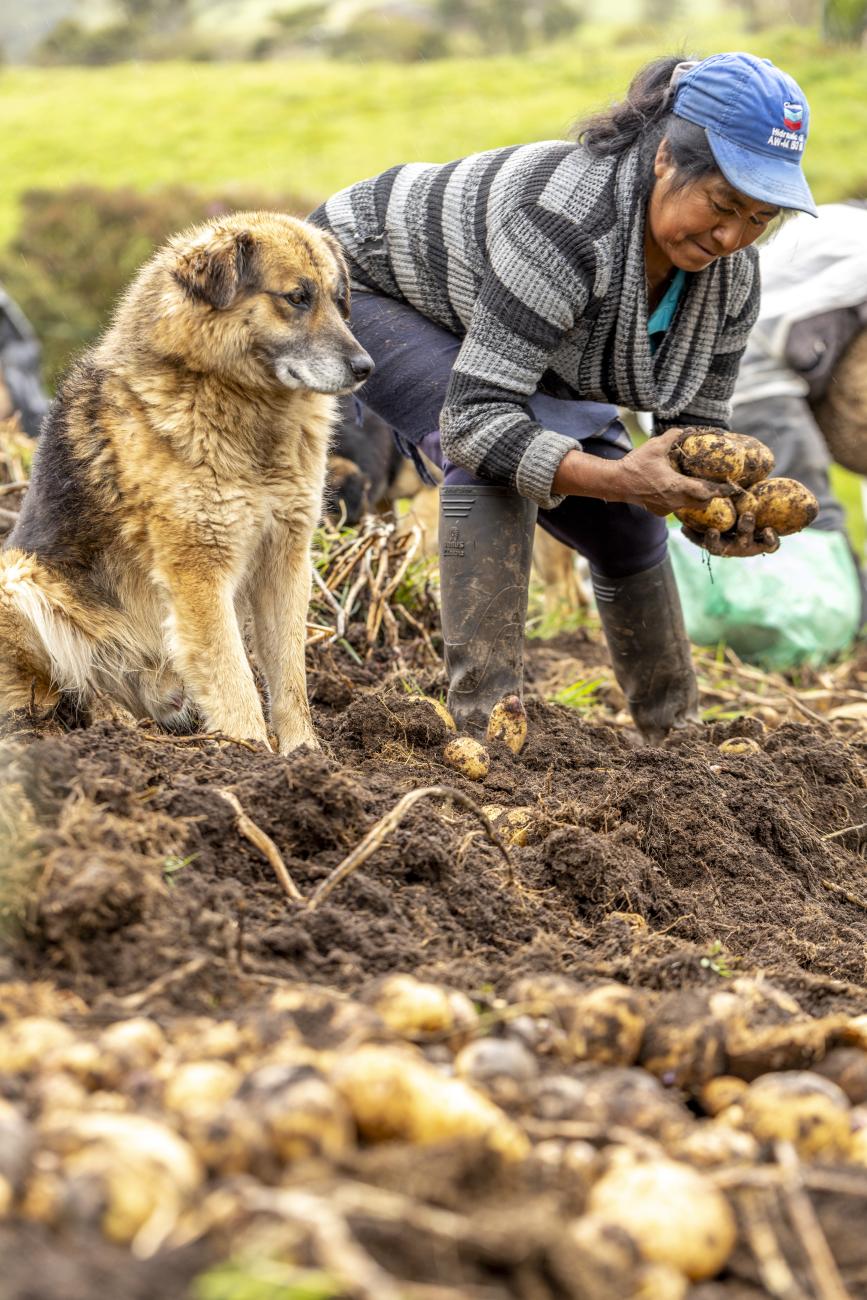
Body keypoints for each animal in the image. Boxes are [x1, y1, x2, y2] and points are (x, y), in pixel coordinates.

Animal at [0, 211, 369, 754]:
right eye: (297, 297)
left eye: (338, 298)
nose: (366, 368)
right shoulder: (198, 569)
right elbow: (234, 676)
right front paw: (248, 752)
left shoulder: (285, 560)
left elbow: (289, 677)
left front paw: (303, 755)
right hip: (20, 579)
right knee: (61, 689)